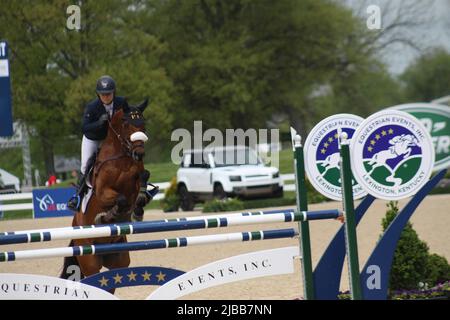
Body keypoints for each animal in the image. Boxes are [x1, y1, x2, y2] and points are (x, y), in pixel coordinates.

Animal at [59, 99, 152, 286]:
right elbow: (121, 200)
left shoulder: (136, 177)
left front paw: (139, 209)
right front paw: (105, 216)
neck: (121, 159)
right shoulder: (102, 193)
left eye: (143, 124)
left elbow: (143, 177)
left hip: (118, 260)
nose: (139, 153)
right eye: (126, 124)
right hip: (90, 261)